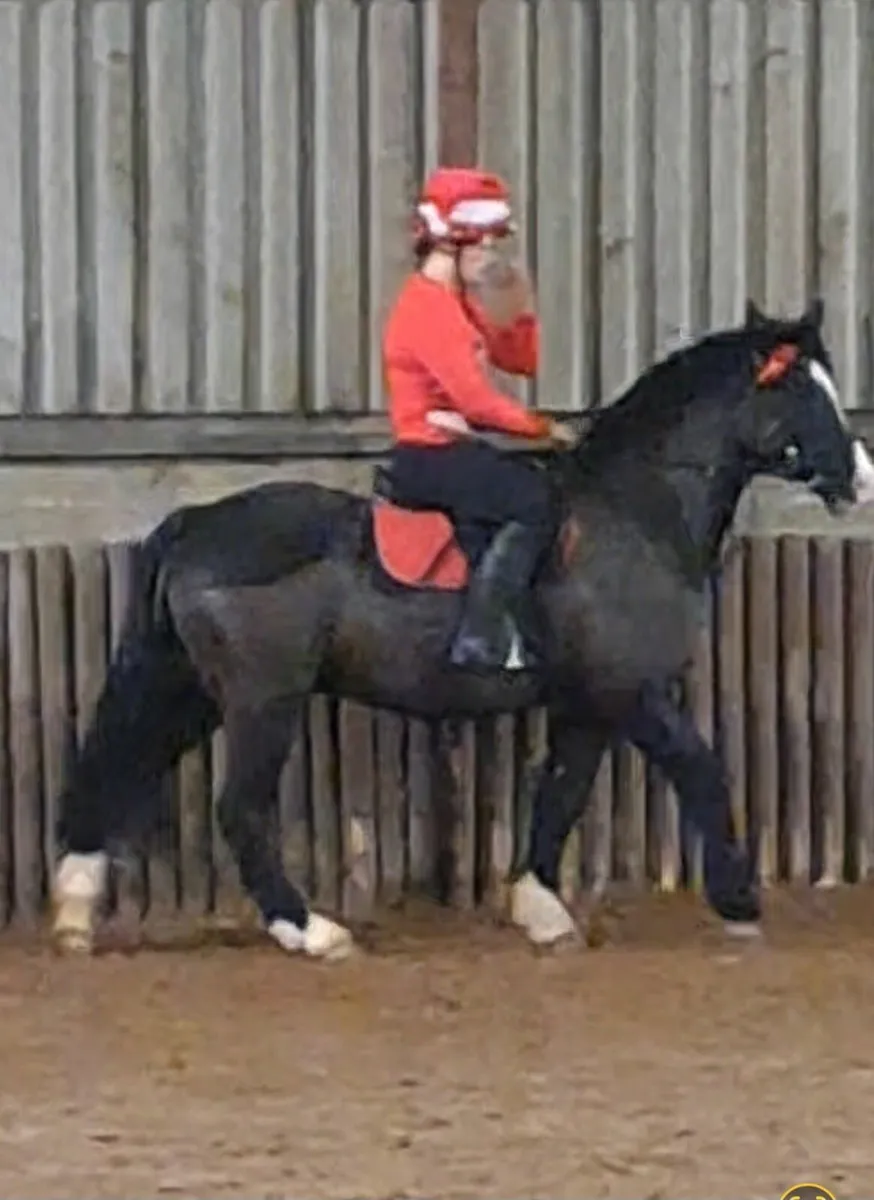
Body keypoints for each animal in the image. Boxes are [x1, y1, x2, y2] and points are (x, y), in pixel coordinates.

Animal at [52, 299, 874, 961]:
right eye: (801, 390)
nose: (860, 478)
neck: (635, 513)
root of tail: (194, 522)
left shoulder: (588, 702)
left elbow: (562, 792)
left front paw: (542, 911)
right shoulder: (632, 690)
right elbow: (701, 769)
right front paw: (739, 900)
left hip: (187, 686)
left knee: (122, 767)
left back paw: (75, 910)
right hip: (262, 699)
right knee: (239, 807)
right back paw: (310, 931)